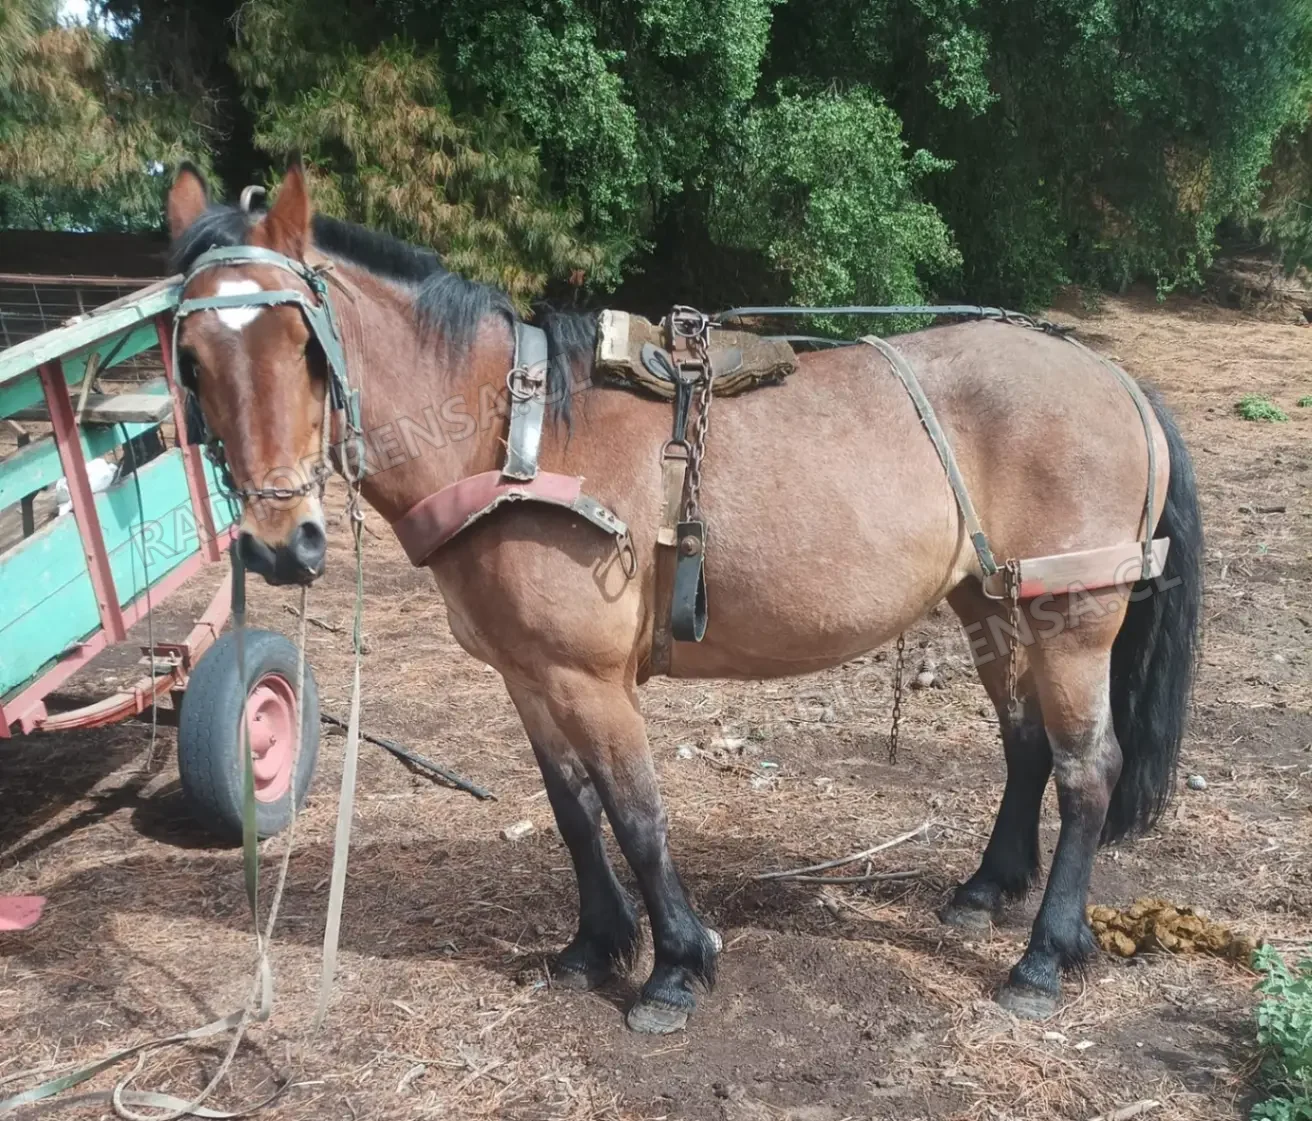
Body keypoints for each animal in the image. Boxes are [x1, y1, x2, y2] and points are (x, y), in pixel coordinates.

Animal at [164, 162, 1202, 1033]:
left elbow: (636, 812)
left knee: (1088, 770)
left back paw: (1043, 957)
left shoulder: (590, 678)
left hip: (1073, 618)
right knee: (1026, 741)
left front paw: (675, 965)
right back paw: (987, 889)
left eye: (305, 346)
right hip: (989, 601)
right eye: (192, 359)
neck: (517, 435)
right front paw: (594, 945)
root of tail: (1117, 379)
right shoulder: (528, 674)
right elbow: (572, 806)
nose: (281, 545)